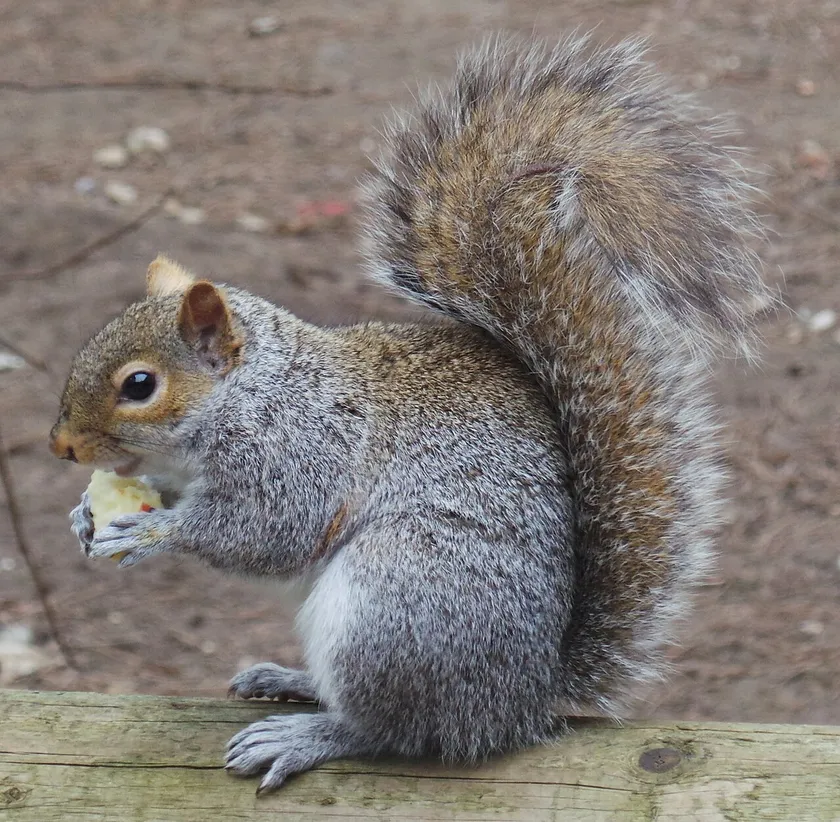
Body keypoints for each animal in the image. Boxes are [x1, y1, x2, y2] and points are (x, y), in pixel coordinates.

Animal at [50, 34, 769, 793]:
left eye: (139, 384)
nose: (61, 445)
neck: (248, 396)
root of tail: (523, 699)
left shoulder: (303, 451)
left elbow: (266, 532)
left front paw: (151, 533)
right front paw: (84, 514)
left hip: (399, 600)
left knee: (398, 729)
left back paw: (310, 734)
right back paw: (290, 680)